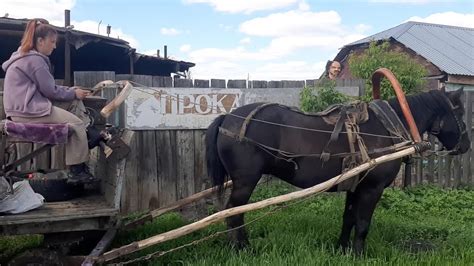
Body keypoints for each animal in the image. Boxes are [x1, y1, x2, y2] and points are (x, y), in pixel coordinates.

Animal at [206, 88, 470, 254]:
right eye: (460, 113)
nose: (466, 146)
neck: (387, 129)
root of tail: (227, 118)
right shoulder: (372, 189)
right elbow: (362, 223)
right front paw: (358, 255)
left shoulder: (355, 186)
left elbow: (349, 218)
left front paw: (342, 249)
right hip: (245, 181)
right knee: (234, 212)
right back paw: (242, 249)